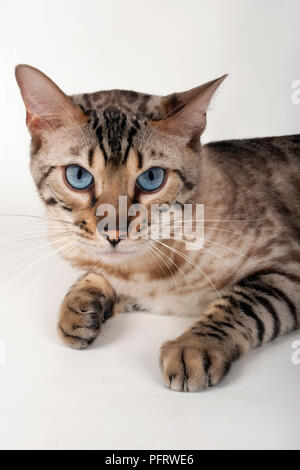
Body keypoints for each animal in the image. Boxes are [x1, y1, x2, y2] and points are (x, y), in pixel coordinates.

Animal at [15, 64, 298, 392]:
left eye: (151, 178)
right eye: (78, 176)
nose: (114, 234)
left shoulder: (287, 267)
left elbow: (240, 304)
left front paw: (193, 347)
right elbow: (91, 277)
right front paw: (77, 311)